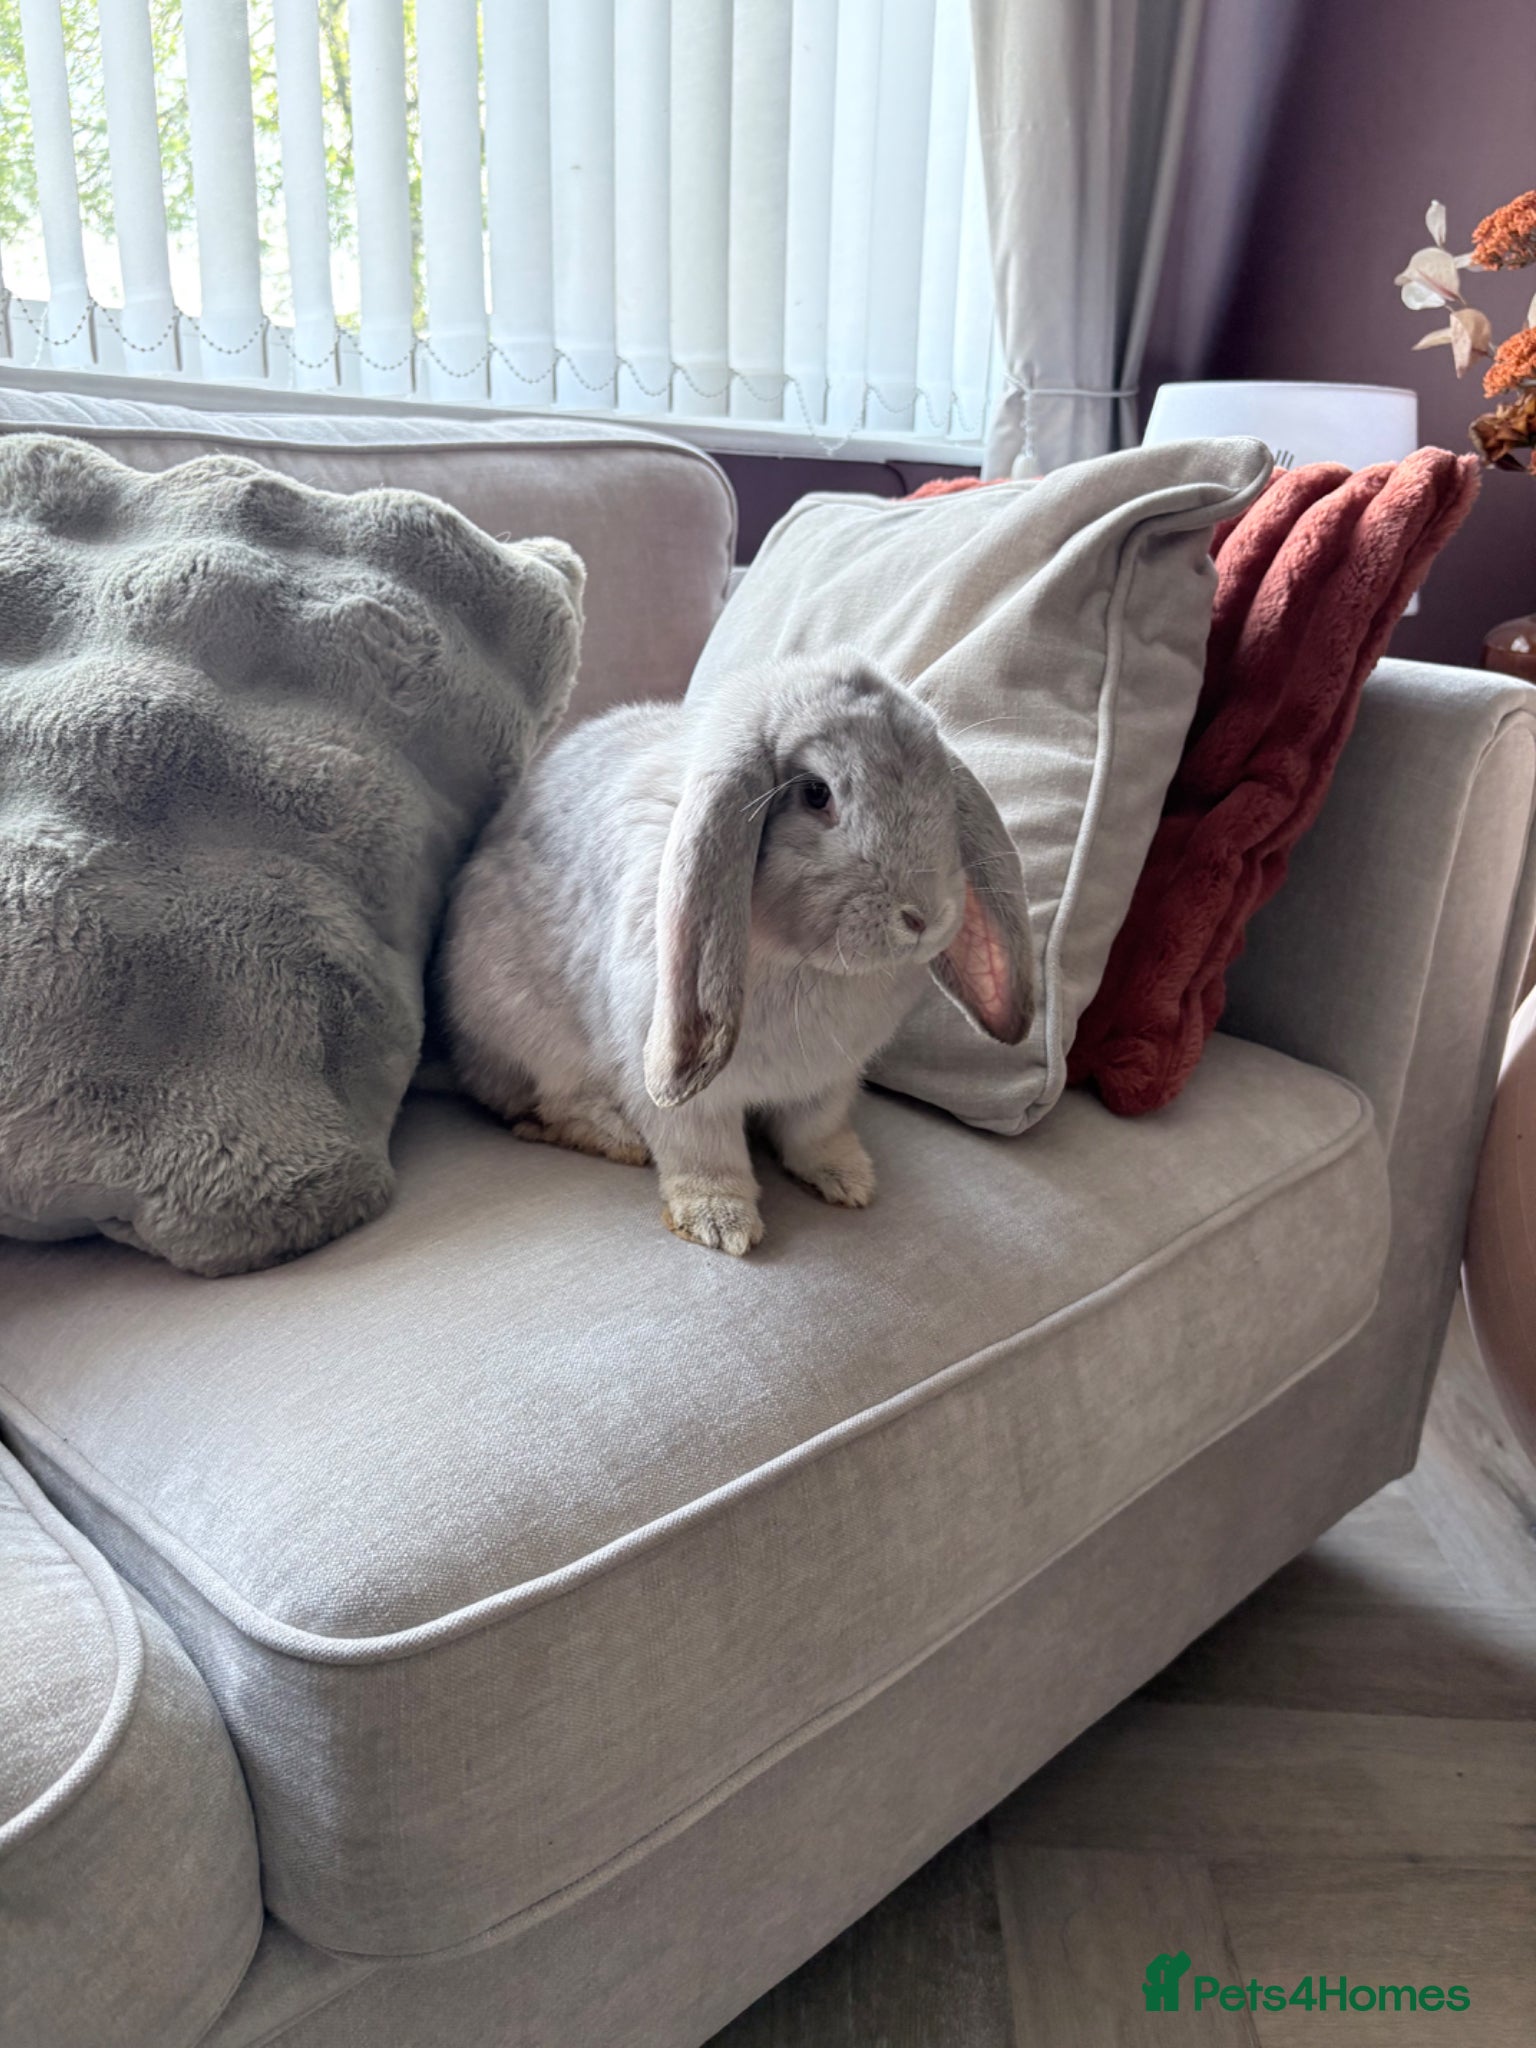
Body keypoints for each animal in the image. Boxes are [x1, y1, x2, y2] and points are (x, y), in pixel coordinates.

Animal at [441, 653, 1034, 1255]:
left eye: (941, 785)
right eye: (816, 793)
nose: (923, 916)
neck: (802, 960)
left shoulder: (829, 1081)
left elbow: (815, 1132)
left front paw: (848, 1180)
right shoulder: (682, 1091)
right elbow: (706, 1154)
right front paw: (721, 1224)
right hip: (530, 1037)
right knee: (546, 1103)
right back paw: (618, 1137)